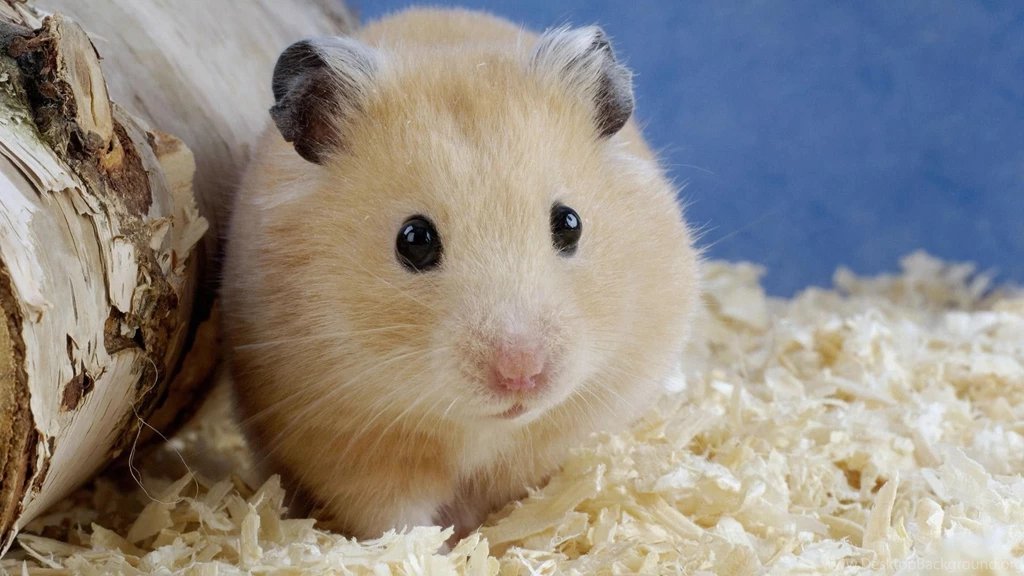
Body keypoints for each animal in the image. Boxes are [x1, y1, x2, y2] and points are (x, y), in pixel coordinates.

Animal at [220, 7, 701, 541]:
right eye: (414, 240)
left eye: (570, 223)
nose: (521, 375)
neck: (481, 427)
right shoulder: (347, 443)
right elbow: (395, 517)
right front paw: (440, 547)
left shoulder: (570, 427)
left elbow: (520, 494)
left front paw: (490, 536)